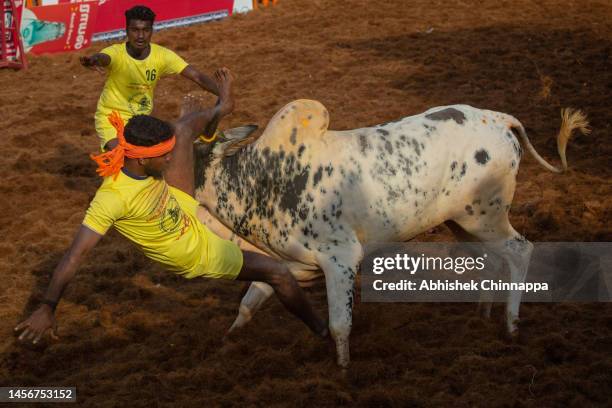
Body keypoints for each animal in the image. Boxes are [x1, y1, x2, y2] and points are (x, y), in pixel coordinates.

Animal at [194, 100, 592, 368]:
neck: (262, 177)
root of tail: (498, 119)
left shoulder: (340, 259)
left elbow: (340, 325)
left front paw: (343, 371)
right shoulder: (287, 263)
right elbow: (250, 301)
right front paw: (226, 342)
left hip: (487, 217)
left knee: (520, 251)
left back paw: (510, 325)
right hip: (463, 223)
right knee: (491, 260)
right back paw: (482, 314)